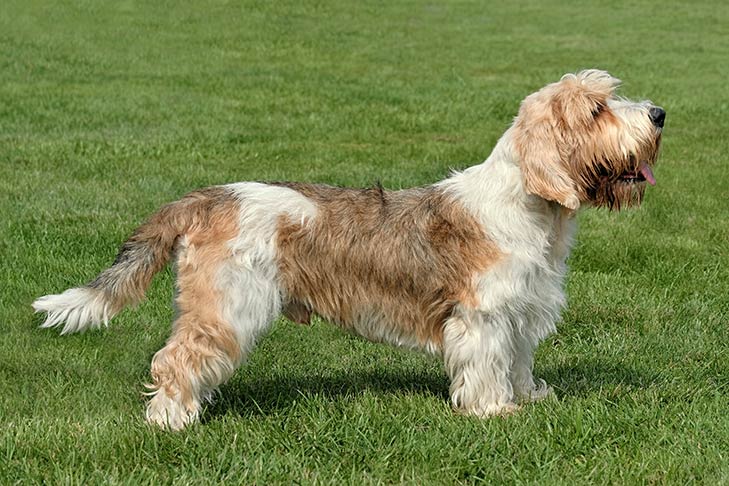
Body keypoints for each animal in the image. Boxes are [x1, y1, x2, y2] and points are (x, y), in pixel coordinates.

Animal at [31, 69, 664, 430]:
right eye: (596, 110)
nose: (660, 114)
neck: (529, 207)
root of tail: (210, 197)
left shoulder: (522, 313)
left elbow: (519, 362)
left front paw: (530, 398)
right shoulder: (483, 317)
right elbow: (487, 365)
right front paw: (494, 412)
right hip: (229, 307)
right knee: (175, 359)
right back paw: (171, 421)